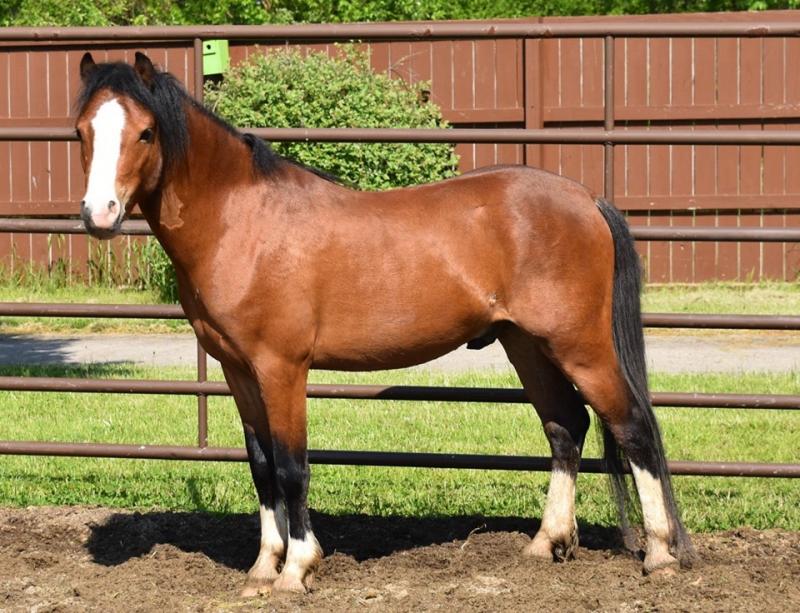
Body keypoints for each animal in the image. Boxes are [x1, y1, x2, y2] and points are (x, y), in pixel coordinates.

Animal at [74, 51, 693, 595]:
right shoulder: (238, 371)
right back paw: (546, 543)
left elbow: (292, 467)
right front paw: (262, 568)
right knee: (566, 427)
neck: (242, 222)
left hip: (579, 345)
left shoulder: (282, 369)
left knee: (633, 426)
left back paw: (660, 555)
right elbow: (262, 466)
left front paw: (297, 570)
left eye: (146, 133)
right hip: (527, 345)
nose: (99, 214)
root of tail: (586, 199)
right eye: (82, 131)